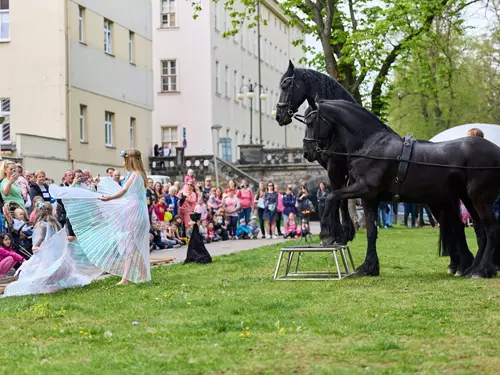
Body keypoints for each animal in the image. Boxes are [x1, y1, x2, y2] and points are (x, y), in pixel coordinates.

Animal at [276, 60, 358, 245]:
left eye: (286, 85)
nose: (279, 115)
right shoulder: (330, 166)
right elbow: (335, 194)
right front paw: (336, 233)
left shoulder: (338, 165)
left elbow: (338, 195)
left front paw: (339, 233)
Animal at [308, 100, 500, 280]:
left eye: (310, 122)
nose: (308, 152)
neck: (371, 145)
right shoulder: (369, 198)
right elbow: (371, 231)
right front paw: (368, 267)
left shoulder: (364, 189)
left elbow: (331, 197)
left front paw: (327, 234)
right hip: (466, 199)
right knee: (479, 229)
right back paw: (472, 267)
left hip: (478, 199)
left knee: (490, 229)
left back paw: (480, 270)